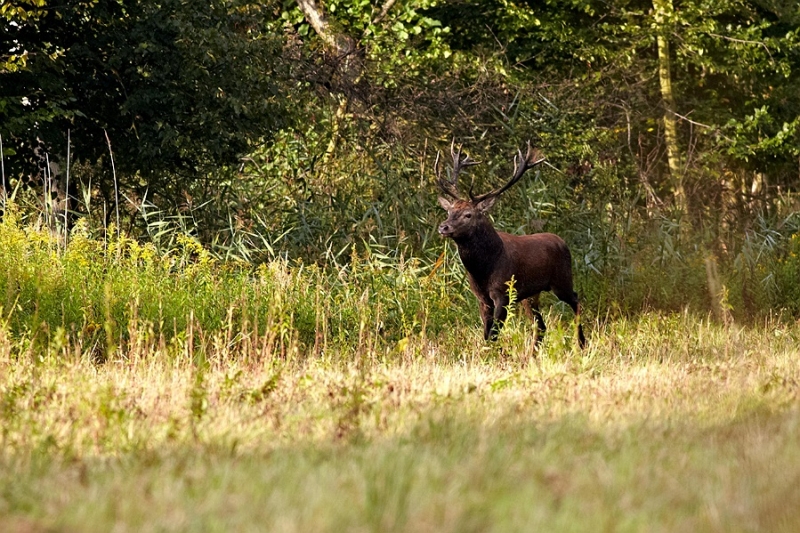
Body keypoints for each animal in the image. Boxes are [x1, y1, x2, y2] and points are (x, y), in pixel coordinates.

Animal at [435, 142, 586, 349]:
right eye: (449, 211)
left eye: (468, 214)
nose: (443, 226)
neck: (484, 269)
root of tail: (562, 241)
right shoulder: (482, 298)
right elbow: (486, 334)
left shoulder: (503, 292)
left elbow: (493, 333)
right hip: (530, 295)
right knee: (541, 326)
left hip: (562, 280)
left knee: (576, 300)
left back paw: (581, 343)